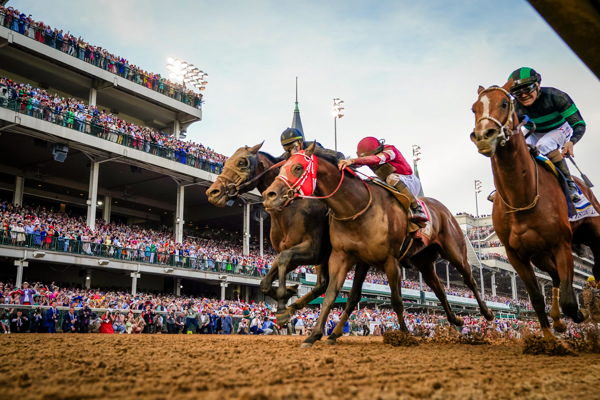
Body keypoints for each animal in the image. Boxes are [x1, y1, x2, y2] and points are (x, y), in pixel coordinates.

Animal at [204, 142, 330, 324]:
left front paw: (284, 301)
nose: (213, 192)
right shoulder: (286, 251)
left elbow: (283, 264)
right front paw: (288, 293)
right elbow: (266, 281)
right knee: (322, 284)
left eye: (242, 162)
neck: (291, 208)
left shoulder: (313, 250)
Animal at [262, 144, 492, 346]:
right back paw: (456, 320)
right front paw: (312, 334)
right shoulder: (341, 256)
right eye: (281, 167)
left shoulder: (390, 261)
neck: (355, 207)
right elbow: (330, 295)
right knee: (440, 290)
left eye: (297, 167)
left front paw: (405, 336)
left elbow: (397, 301)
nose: (268, 195)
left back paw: (487, 313)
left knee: (470, 280)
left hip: (455, 251)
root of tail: (444, 210)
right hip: (424, 262)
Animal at [468, 81, 600, 338]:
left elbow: (571, 301)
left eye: (504, 103)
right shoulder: (515, 254)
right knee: (555, 277)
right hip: (540, 255)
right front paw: (552, 334)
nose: (483, 136)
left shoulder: (561, 245)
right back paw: (558, 320)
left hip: (592, 234)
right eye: (474, 108)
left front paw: (582, 314)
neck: (522, 197)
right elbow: (538, 298)